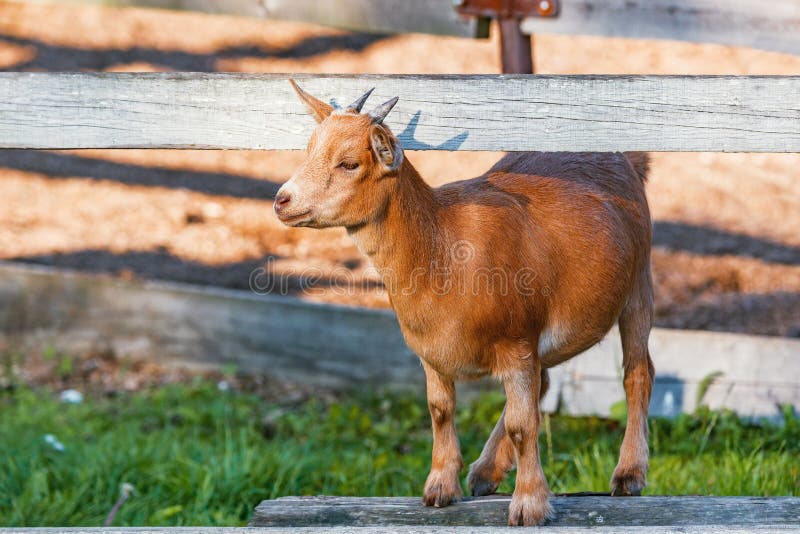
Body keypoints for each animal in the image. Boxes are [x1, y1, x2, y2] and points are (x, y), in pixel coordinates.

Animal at [276, 82, 656, 528]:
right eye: (309, 149)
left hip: (638, 285)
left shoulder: (516, 342)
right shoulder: (431, 353)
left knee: (637, 372)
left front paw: (529, 504)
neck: (442, 245)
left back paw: (629, 472)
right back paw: (485, 470)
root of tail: (627, 159)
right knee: (545, 383)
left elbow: (523, 424)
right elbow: (441, 410)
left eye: (349, 163)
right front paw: (440, 487)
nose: (282, 200)